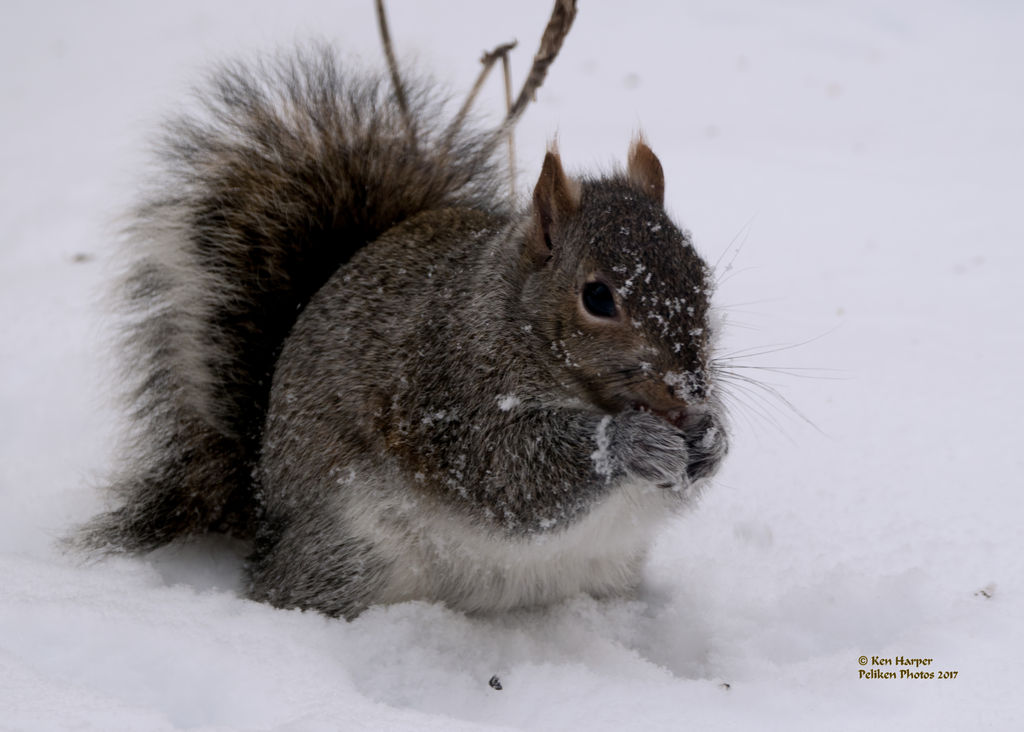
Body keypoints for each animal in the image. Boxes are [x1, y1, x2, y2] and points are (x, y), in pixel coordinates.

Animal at [74, 44, 729, 618]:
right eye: (597, 297)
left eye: (701, 272)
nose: (688, 388)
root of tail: (266, 515)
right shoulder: (446, 392)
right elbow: (507, 471)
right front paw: (631, 442)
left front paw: (711, 438)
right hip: (350, 549)